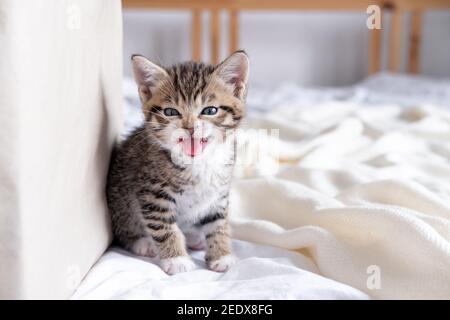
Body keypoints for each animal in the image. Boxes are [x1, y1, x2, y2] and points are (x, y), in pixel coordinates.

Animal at [107, 51, 250, 274]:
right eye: (171, 112)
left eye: (210, 110)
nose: (190, 127)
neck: (198, 163)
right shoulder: (152, 195)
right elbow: (164, 227)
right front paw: (177, 260)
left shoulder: (219, 194)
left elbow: (219, 224)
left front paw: (221, 254)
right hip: (120, 198)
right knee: (124, 227)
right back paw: (142, 243)